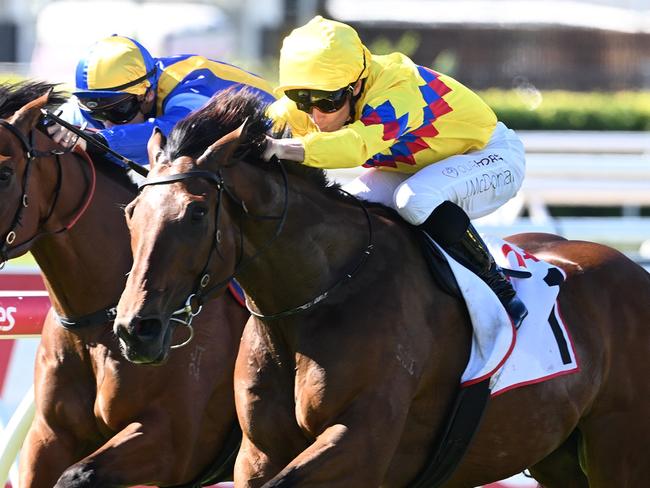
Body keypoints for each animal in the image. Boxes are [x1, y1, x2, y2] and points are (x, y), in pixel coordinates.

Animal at [114, 88, 648, 488]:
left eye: (196, 211)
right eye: (132, 211)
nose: (135, 329)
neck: (317, 299)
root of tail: (634, 271)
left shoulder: (359, 443)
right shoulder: (257, 453)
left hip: (618, 446)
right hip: (555, 452)